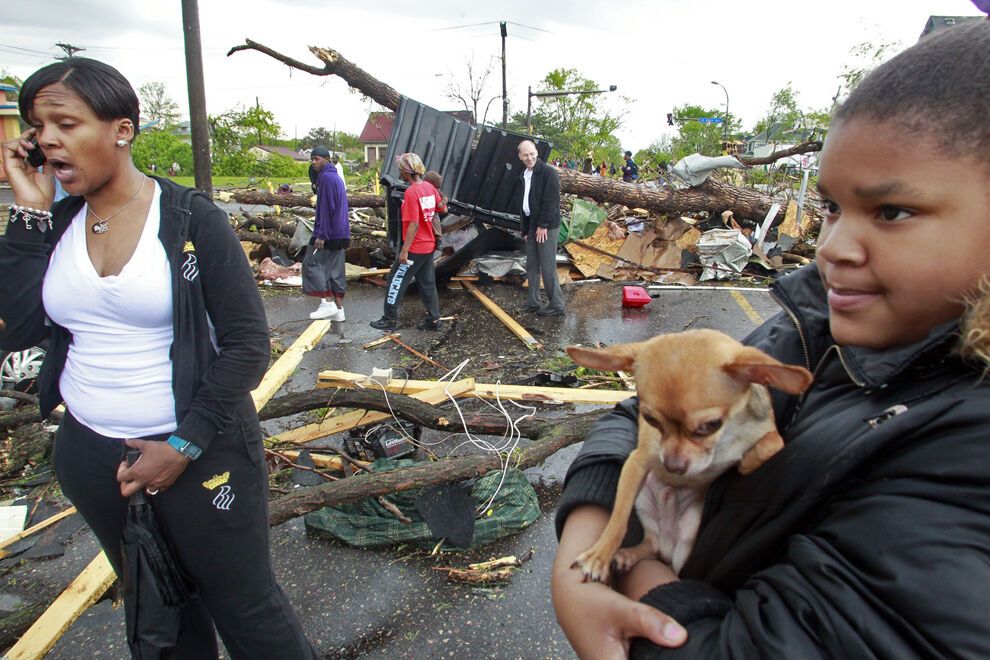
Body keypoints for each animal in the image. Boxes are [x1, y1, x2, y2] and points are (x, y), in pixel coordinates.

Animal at [564, 330, 812, 584]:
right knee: (651, 543)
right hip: (643, 501)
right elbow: (618, 519)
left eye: (711, 424)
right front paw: (599, 556)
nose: (673, 467)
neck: (725, 437)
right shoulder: (637, 462)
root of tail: (667, 540)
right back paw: (629, 555)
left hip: (689, 532)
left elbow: (774, 442)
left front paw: (745, 462)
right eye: (649, 419)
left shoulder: (765, 430)